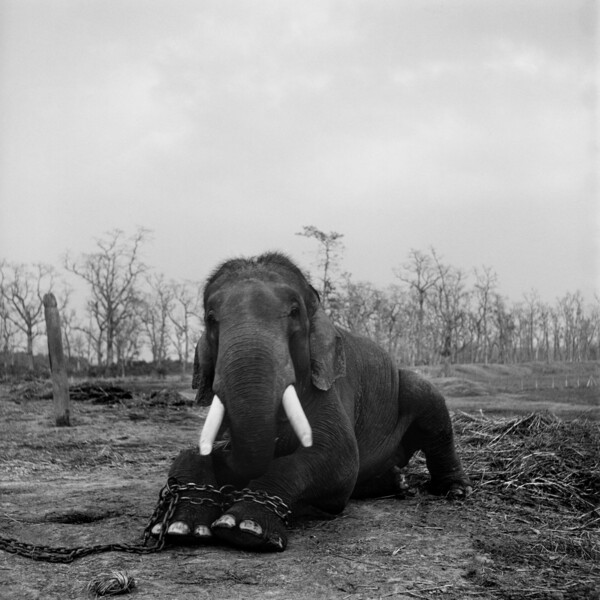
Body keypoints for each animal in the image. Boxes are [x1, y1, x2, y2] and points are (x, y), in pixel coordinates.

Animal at [152, 251, 472, 552]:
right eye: (210, 318)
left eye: (295, 312)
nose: (225, 449)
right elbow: (191, 453)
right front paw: (182, 526)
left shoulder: (331, 388)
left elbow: (338, 456)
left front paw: (245, 528)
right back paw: (397, 482)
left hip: (413, 390)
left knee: (430, 409)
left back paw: (455, 491)